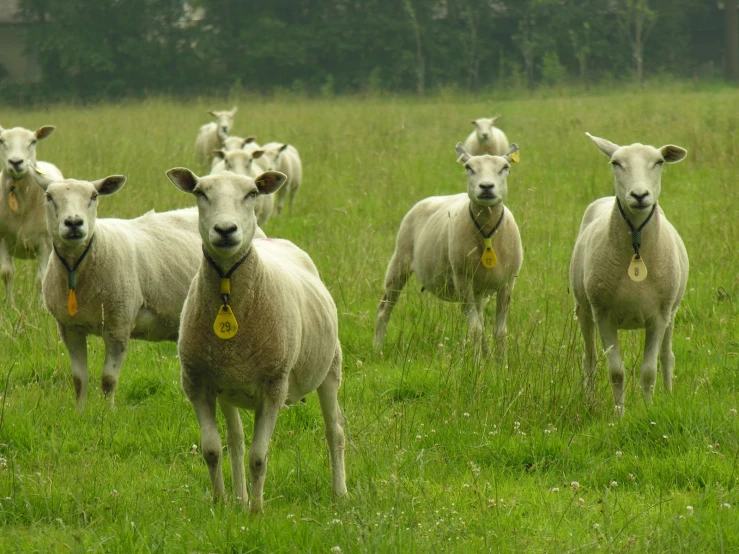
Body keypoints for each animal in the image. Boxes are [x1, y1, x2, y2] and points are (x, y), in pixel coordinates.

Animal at [0, 124, 62, 306]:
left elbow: (41, 279)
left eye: (33, 141)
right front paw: (10, 305)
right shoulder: (2, 238)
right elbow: (7, 273)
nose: (16, 162)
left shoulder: (44, 242)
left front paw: (40, 306)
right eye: (1, 140)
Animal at [33, 172, 202, 410]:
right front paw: (79, 413)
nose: (74, 223)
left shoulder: (119, 325)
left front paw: (107, 412)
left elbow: (108, 379)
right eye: (48, 196)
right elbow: (79, 379)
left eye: (94, 196)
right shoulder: (69, 328)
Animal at [164, 166, 346, 512]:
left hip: (330, 368)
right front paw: (219, 503)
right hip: (226, 386)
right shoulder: (197, 383)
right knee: (235, 441)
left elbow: (259, 457)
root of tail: (273, 239)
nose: (225, 230)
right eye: (200, 193)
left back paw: (340, 494)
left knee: (336, 432)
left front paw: (257, 511)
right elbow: (212, 449)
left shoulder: (273, 387)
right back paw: (238, 497)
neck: (227, 289)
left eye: (251, 193)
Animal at [376, 142, 528, 358]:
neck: (487, 234)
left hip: (479, 288)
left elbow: (500, 332)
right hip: (400, 261)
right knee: (384, 309)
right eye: (468, 167)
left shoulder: (507, 283)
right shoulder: (462, 280)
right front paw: (477, 363)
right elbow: (475, 330)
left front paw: (500, 363)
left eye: (504, 167)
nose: (486, 187)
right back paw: (378, 349)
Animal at [572, 133, 688, 414]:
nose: (639, 195)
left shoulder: (659, 316)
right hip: (584, 309)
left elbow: (648, 372)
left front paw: (649, 412)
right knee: (589, 358)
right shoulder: (603, 315)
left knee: (667, 356)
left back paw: (669, 395)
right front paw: (619, 415)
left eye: (659, 162)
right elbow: (616, 373)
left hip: (672, 311)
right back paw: (589, 401)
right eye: (616, 163)